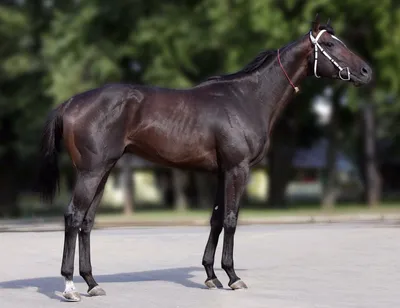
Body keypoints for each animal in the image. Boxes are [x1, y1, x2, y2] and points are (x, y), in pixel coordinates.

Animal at [36, 15, 372, 302]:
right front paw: (233, 276)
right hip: (91, 172)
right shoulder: (238, 169)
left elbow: (215, 219)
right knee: (73, 217)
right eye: (330, 44)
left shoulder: (222, 172)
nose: (367, 72)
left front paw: (211, 275)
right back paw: (70, 287)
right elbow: (231, 219)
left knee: (87, 222)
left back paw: (92, 283)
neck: (247, 98)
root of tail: (70, 102)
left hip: (104, 171)